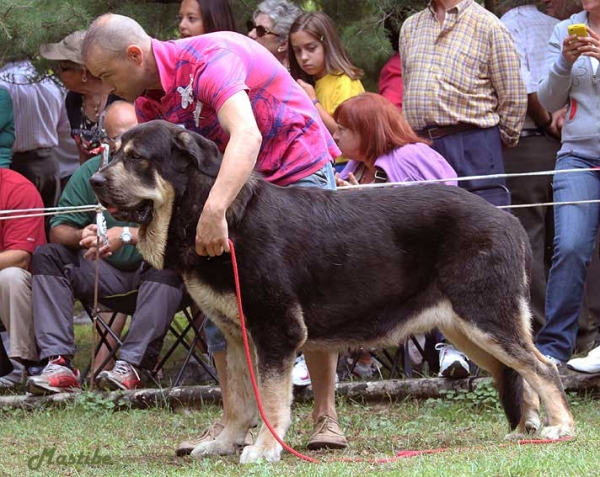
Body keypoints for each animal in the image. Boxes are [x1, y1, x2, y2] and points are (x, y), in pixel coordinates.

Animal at [89, 121, 572, 462]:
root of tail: (507, 219)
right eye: (113, 153)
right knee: (517, 372)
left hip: (485, 318)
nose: (94, 182)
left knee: (543, 367)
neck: (218, 213)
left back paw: (560, 428)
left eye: (136, 158)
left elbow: (272, 400)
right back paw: (524, 429)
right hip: (467, 328)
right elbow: (240, 401)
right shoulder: (236, 334)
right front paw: (226, 443)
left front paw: (264, 449)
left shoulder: (277, 331)